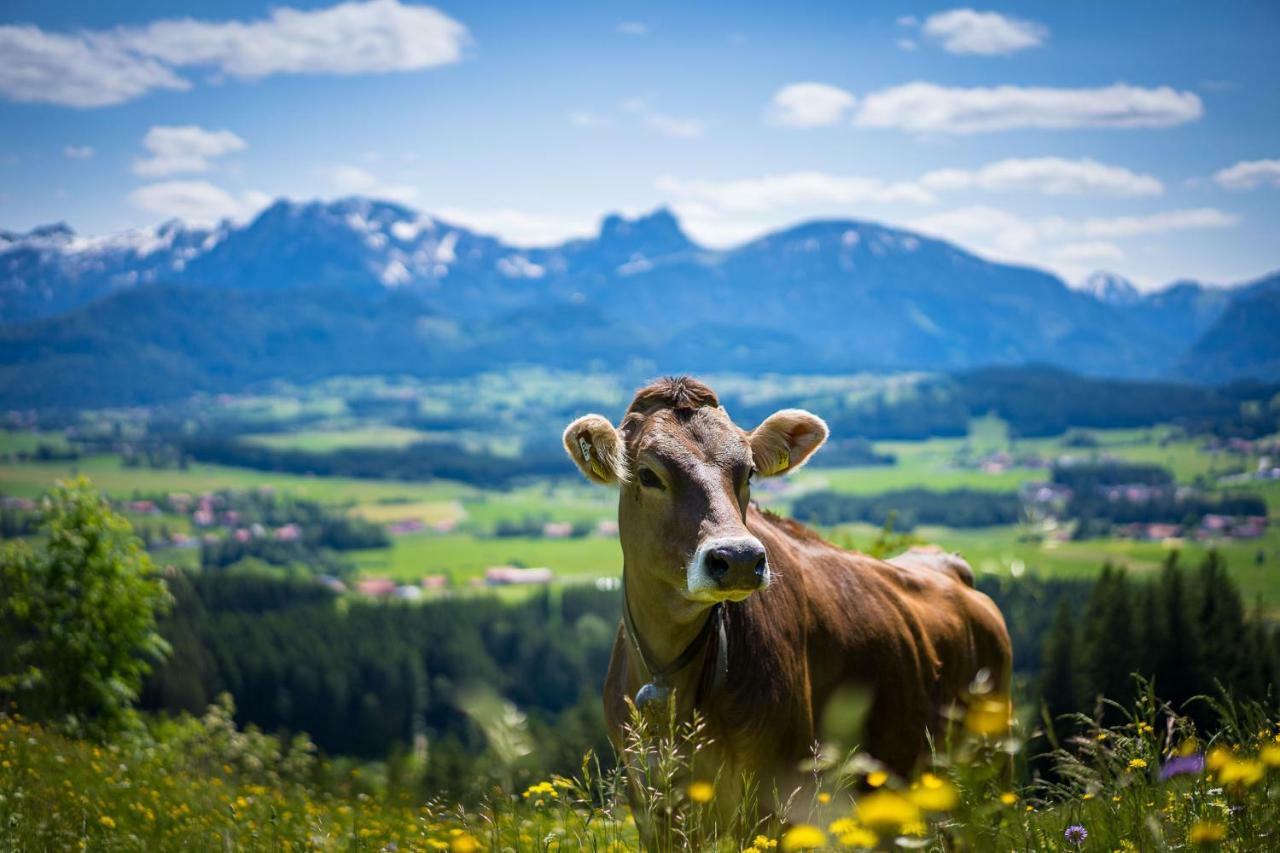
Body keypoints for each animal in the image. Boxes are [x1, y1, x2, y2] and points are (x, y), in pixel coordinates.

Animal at [560, 376, 1008, 819]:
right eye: (648, 474)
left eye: (748, 473)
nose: (739, 558)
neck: (670, 678)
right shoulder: (649, 802)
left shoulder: (780, 794)